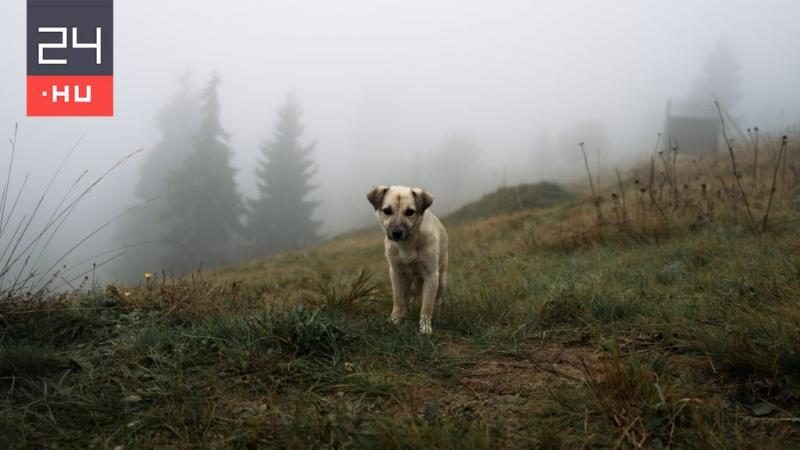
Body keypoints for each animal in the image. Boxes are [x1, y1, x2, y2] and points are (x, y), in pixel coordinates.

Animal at [366, 185, 446, 334]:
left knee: (437, 301)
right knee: (406, 298)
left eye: (410, 212)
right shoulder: (396, 273)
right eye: (387, 211)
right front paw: (395, 320)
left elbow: (427, 306)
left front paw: (425, 327)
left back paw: (437, 315)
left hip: (441, 281)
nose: (397, 233)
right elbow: (398, 300)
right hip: (408, 280)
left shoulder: (431, 275)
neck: (407, 245)